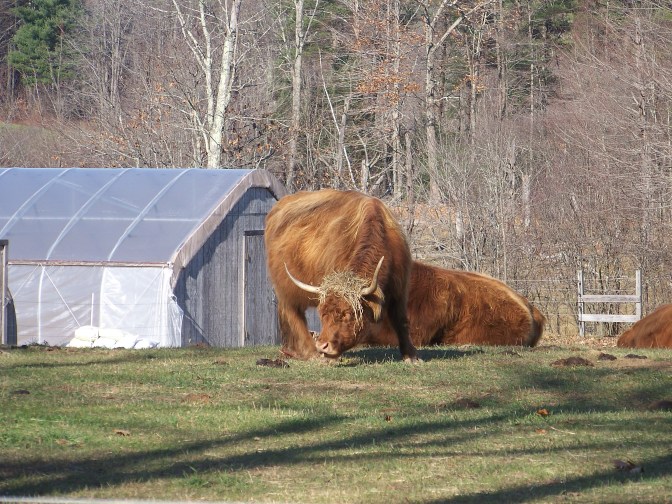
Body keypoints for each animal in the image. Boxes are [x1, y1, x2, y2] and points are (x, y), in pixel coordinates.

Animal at [264, 189, 418, 361]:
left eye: (347, 314)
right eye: (322, 314)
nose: (323, 345)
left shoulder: (400, 288)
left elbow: (401, 320)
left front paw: (410, 355)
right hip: (285, 288)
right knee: (293, 314)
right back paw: (310, 352)